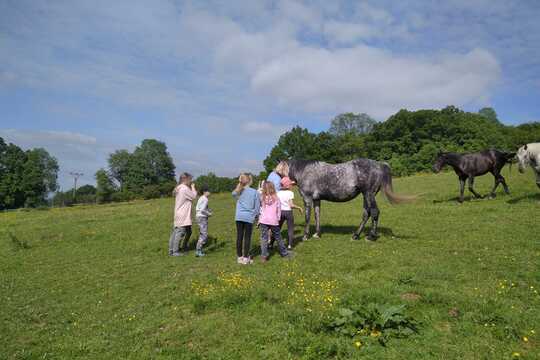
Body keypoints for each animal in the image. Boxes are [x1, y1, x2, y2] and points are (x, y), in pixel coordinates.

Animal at [284, 158, 412, 240]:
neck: (304, 171)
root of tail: (379, 164)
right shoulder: (317, 200)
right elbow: (317, 216)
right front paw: (317, 234)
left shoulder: (307, 199)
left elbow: (307, 217)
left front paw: (305, 236)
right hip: (366, 196)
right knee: (366, 214)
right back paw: (356, 235)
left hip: (368, 194)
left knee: (374, 212)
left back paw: (371, 236)